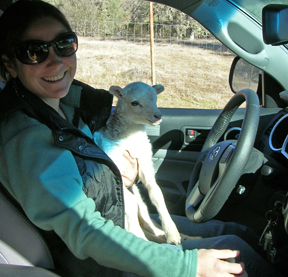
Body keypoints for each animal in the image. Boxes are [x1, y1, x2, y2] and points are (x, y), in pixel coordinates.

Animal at [93, 81, 181, 243]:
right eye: (134, 103)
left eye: (155, 99)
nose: (158, 116)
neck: (131, 138)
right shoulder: (117, 170)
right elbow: (130, 203)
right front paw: (138, 237)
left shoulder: (145, 163)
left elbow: (157, 195)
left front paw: (172, 233)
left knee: (145, 214)